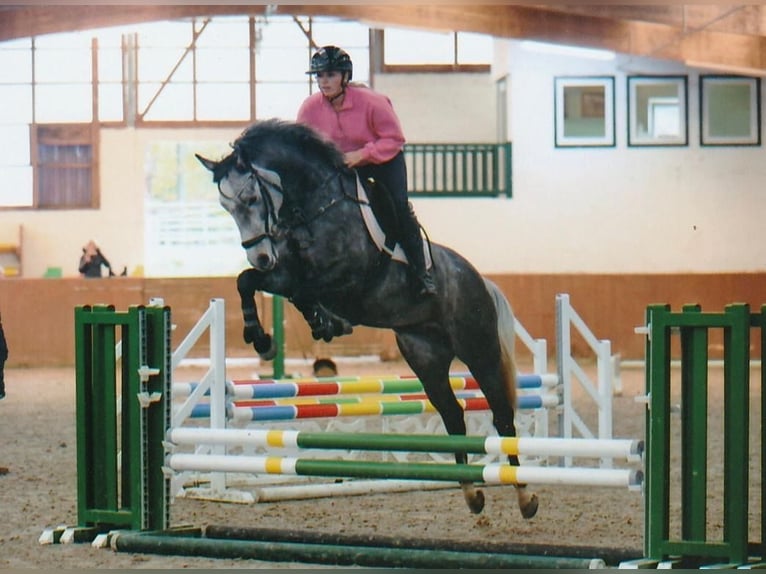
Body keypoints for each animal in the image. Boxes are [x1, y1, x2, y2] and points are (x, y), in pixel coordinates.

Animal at [198, 119, 540, 520]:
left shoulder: (342, 279)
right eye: (226, 206)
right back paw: (472, 493)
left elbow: (295, 288)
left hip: (478, 350)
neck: (311, 209)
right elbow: (249, 281)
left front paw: (287, 332)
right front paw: (268, 337)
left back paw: (524, 496)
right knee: (453, 414)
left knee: (501, 415)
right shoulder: (286, 274)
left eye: (251, 199)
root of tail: (479, 280)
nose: (261, 256)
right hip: (426, 357)